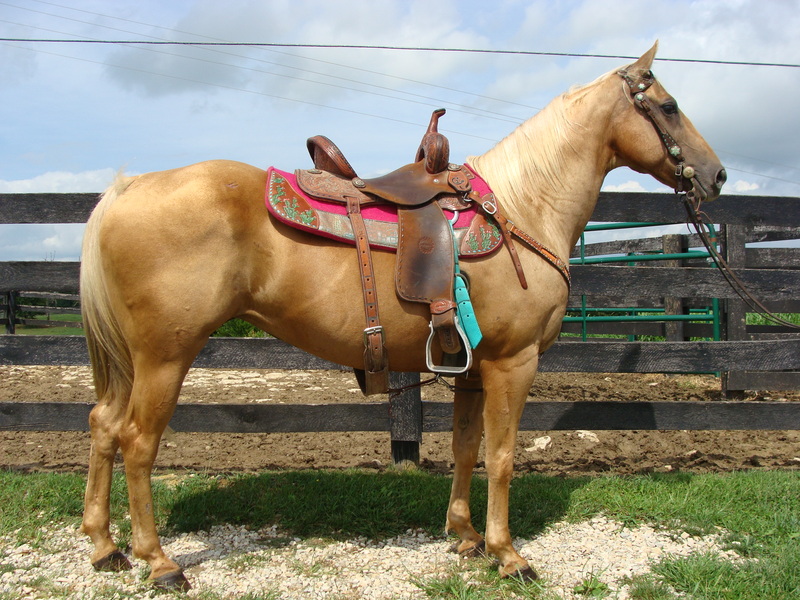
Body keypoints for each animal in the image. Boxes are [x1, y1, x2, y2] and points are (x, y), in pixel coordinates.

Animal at [78, 43, 725, 590]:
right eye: (669, 106)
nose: (716, 175)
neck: (523, 206)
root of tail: (127, 189)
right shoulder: (512, 364)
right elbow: (502, 457)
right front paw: (508, 554)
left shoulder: (473, 369)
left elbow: (465, 448)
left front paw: (465, 536)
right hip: (165, 357)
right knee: (137, 442)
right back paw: (159, 562)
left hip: (133, 361)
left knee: (104, 425)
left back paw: (104, 547)